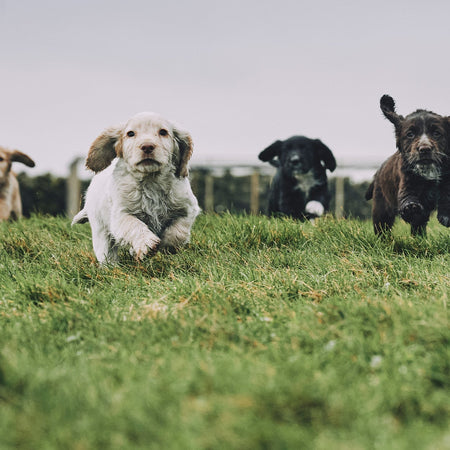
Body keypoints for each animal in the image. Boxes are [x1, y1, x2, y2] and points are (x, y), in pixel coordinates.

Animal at [73, 112, 200, 266]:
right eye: (130, 133)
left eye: (163, 132)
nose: (147, 146)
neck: (151, 180)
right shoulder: (121, 215)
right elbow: (135, 226)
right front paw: (147, 244)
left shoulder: (188, 207)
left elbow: (178, 231)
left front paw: (168, 245)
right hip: (101, 229)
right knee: (106, 251)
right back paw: (112, 267)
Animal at [366, 94, 450, 236]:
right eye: (410, 134)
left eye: (436, 133)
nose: (424, 149)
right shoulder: (407, 182)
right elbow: (408, 197)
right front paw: (411, 209)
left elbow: (446, 193)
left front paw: (446, 216)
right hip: (381, 207)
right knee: (381, 228)